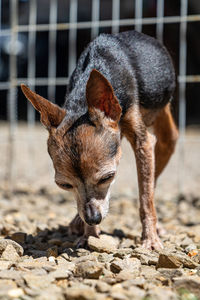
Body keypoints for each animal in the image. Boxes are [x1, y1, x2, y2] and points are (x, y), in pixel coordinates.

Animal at [21, 31, 178, 251]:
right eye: (64, 185)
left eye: (107, 177)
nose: (93, 218)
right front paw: (89, 235)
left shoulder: (143, 142)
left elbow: (146, 196)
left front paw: (150, 239)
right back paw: (78, 221)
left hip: (164, 138)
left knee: (152, 179)